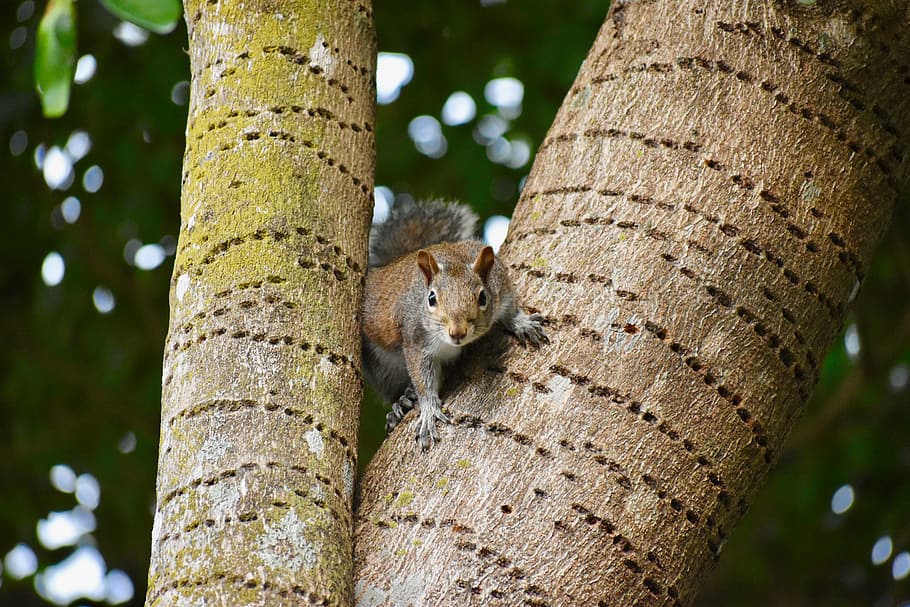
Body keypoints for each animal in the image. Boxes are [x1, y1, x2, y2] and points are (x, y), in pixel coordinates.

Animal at [361, 199, 548, 450]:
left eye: (482, 298)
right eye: (431, 298)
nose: (457, 332)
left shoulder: (499, 284)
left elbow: (510, 307)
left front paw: (522, 323)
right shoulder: (415, 339)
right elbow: (423, 379)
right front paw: (429, 411)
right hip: (380, 367)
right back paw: (400, 403)